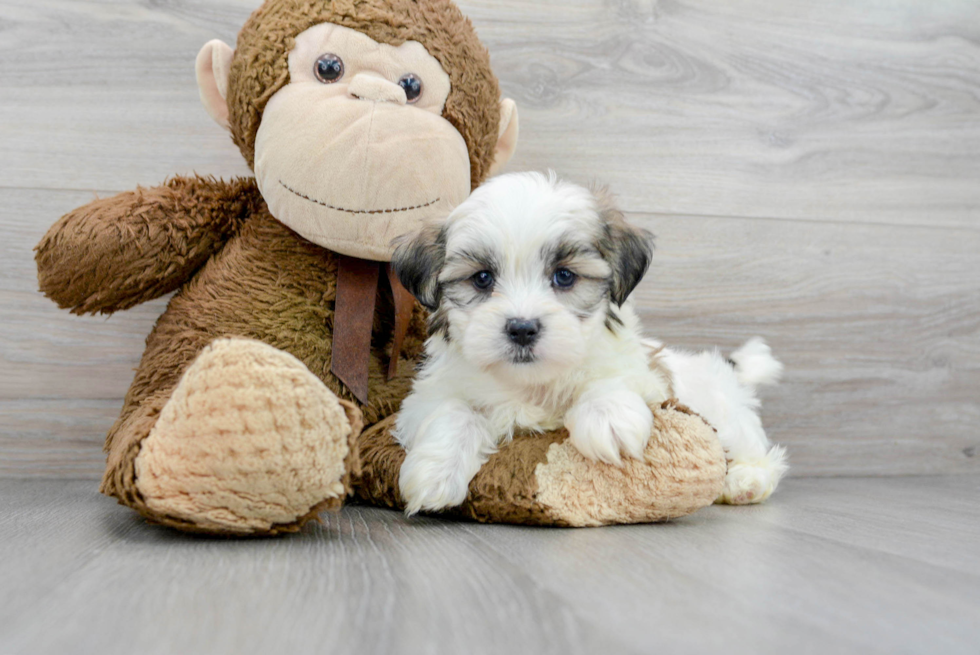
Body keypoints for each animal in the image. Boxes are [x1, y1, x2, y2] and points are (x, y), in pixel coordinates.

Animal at [390, 172, 788, 516]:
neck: (533, 383)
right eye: (482, 278)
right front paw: (436, 472)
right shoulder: (426, 396)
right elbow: (454, 411)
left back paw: (745, 481)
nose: (522, 328)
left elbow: (610, 379)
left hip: (723, 412)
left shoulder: (645, 375)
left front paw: (607, 417)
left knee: (752, 449)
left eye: (564, 276)